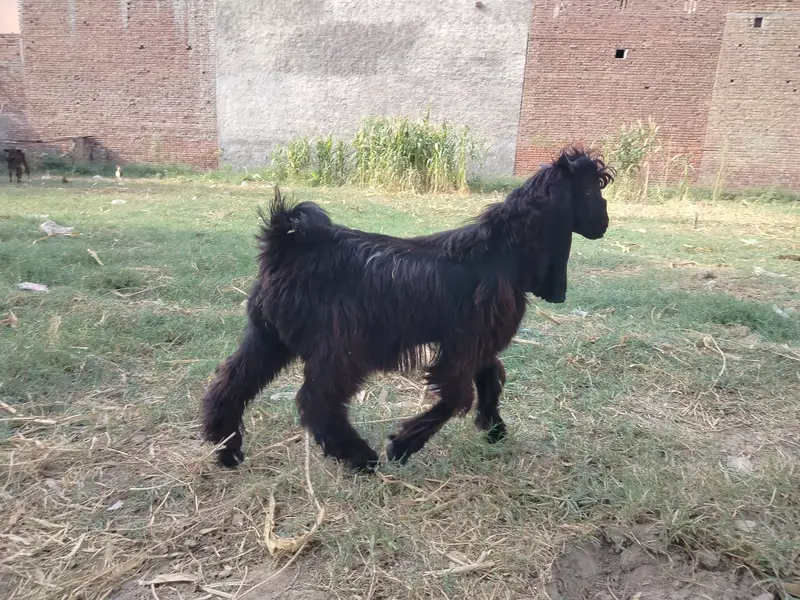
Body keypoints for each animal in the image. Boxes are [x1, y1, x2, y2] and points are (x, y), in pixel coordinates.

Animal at [202, 148, 613, 472]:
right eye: (589, 189)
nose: (605, 223)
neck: (499, 252)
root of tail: (285, 244)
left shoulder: (478, 341)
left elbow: (491, 378)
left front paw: (494, 427)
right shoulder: (462, 345)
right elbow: (457, 396)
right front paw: (402, 445)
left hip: (268, 337)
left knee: (231, 383)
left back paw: (226, 449)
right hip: (342, 346)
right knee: (316, 400)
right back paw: (360, 457)